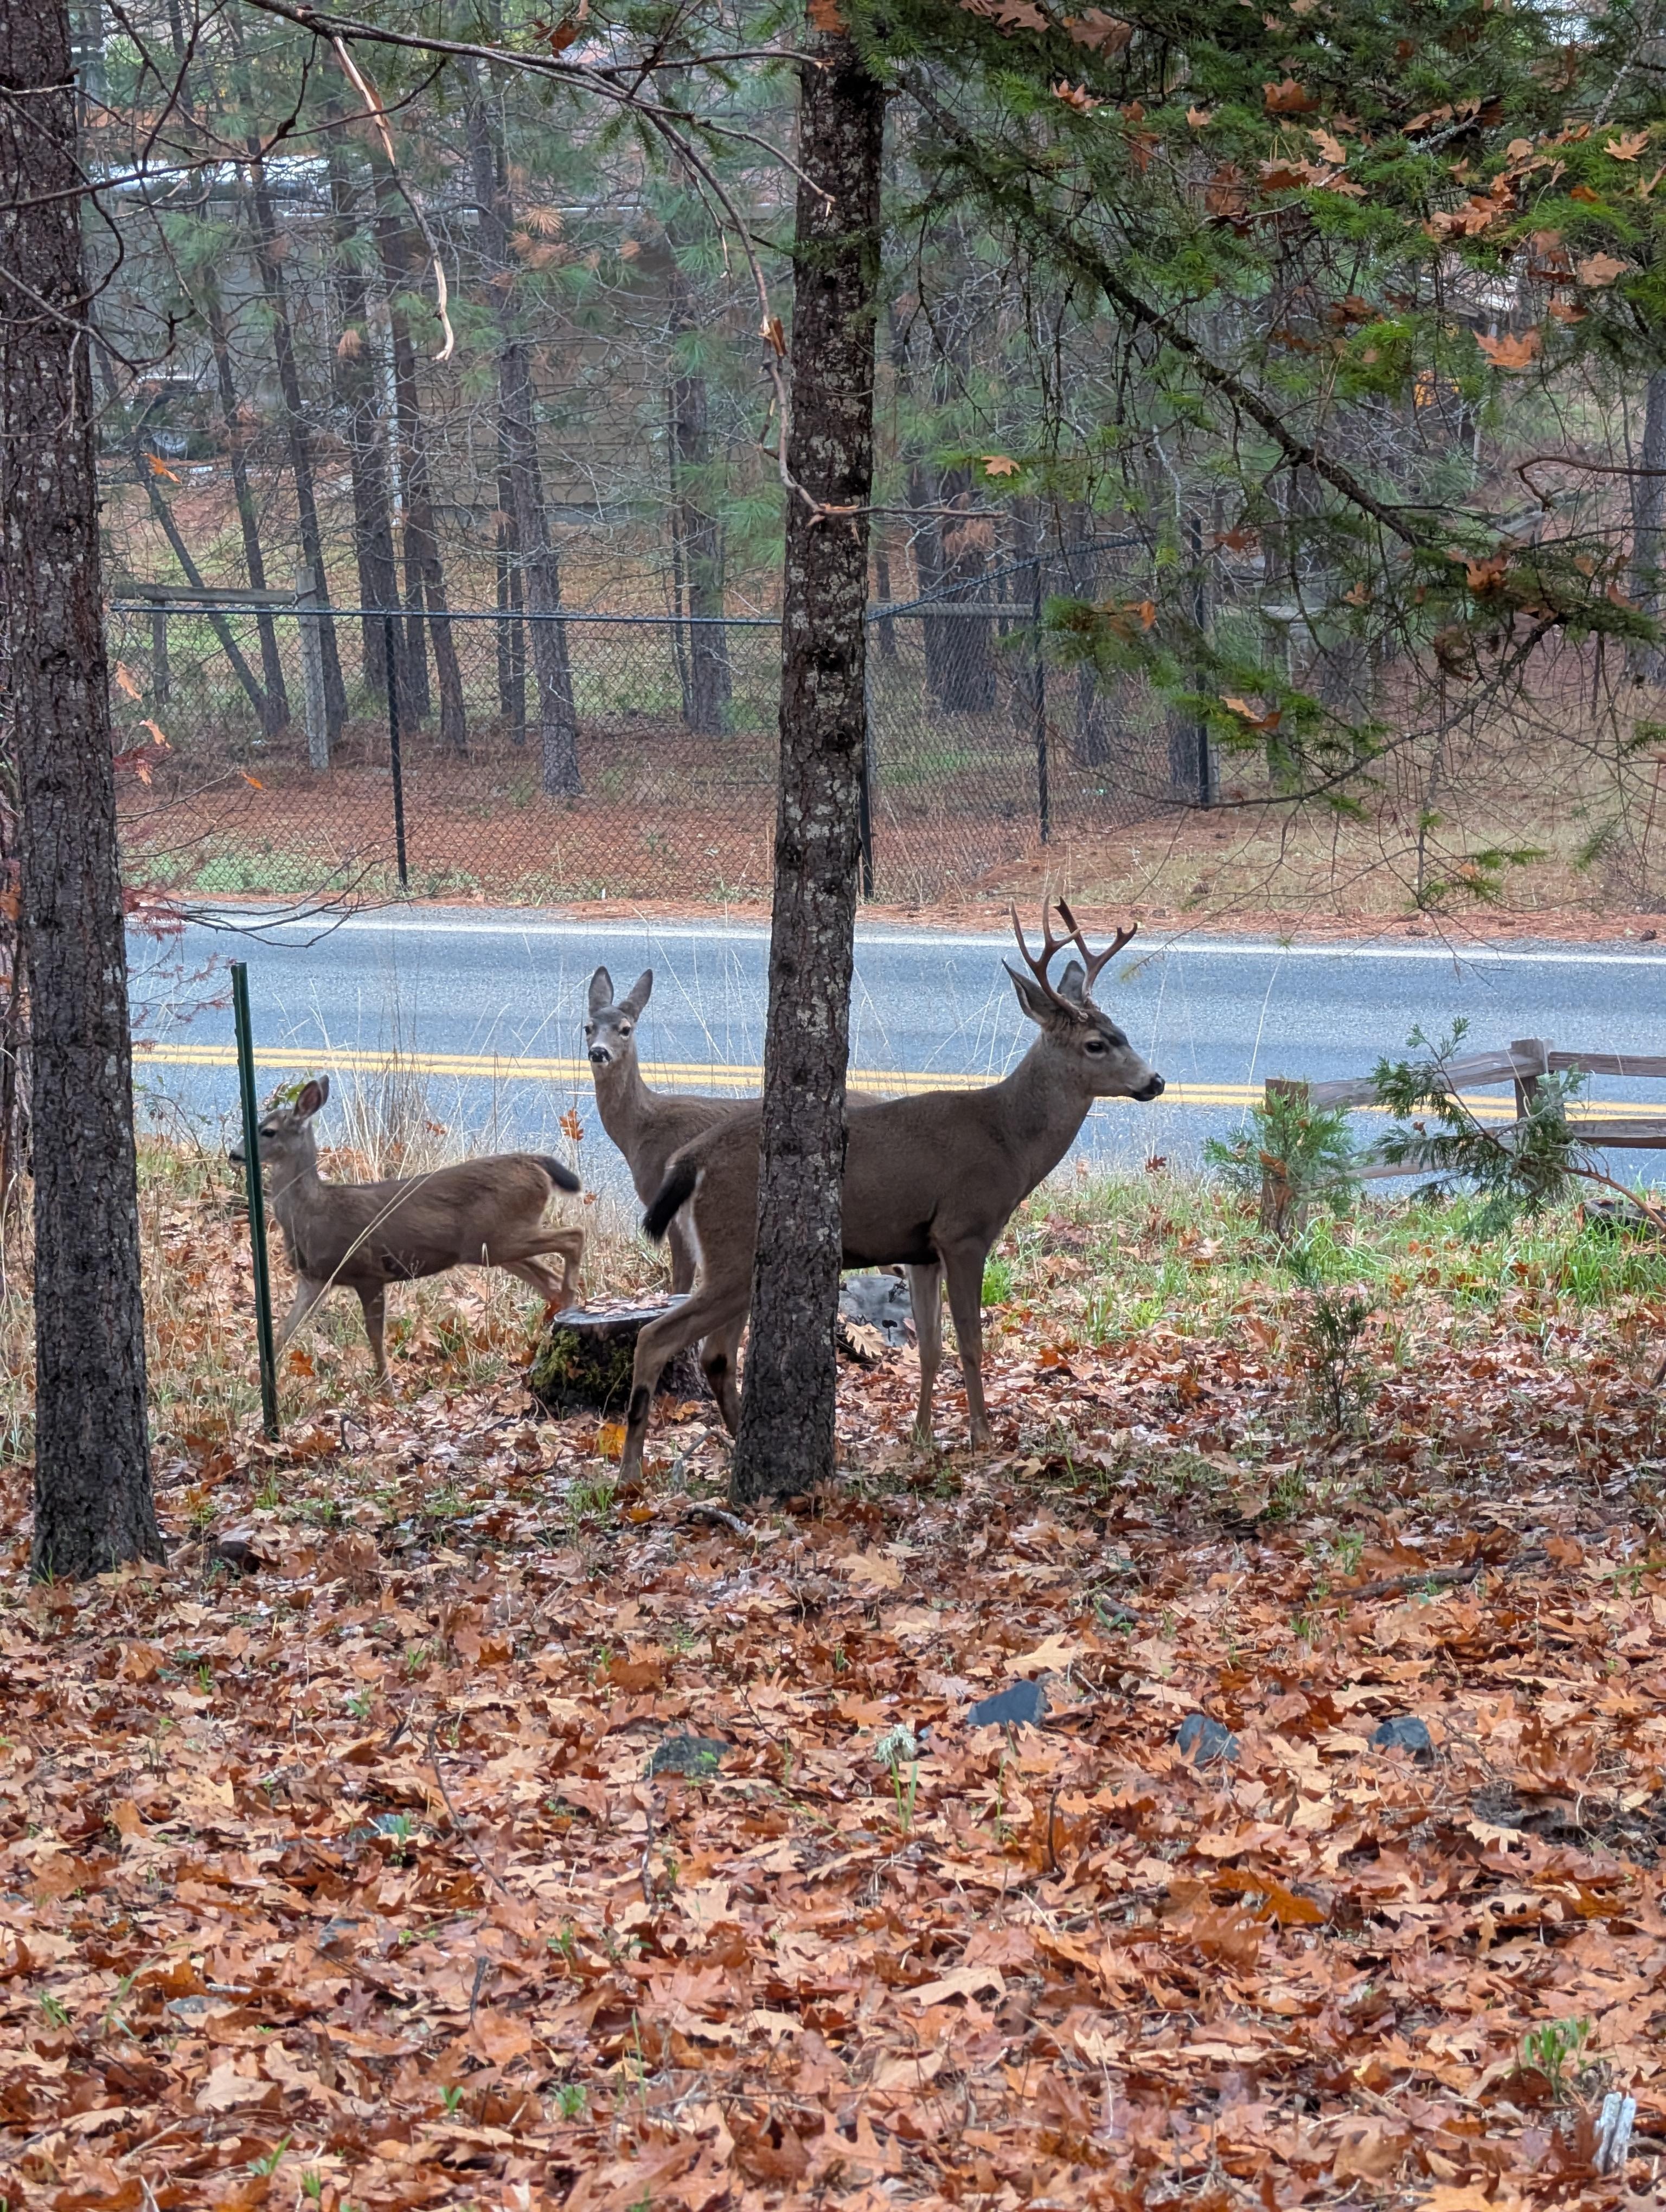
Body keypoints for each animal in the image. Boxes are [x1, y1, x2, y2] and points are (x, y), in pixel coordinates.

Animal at [229, 1075, 586, 1384]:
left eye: (268, 1131)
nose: (235, 1154)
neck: (314, 1213)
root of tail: (537, 1164)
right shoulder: (315, 1277)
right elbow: (284, 1330)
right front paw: (259, 1381)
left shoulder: (367, 1269)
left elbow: (375, 1336)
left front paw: (386, 1389)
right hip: (494, 1247)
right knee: (550, 1279)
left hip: (500, 1238)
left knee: (574, 1236)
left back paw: (568, 1308)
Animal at [585, 963, 941, 1429]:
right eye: (588, 1026)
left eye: (625, 1029)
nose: (598, 1053)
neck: (640, 1130)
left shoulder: (671, 1218)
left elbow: (678, 1284)